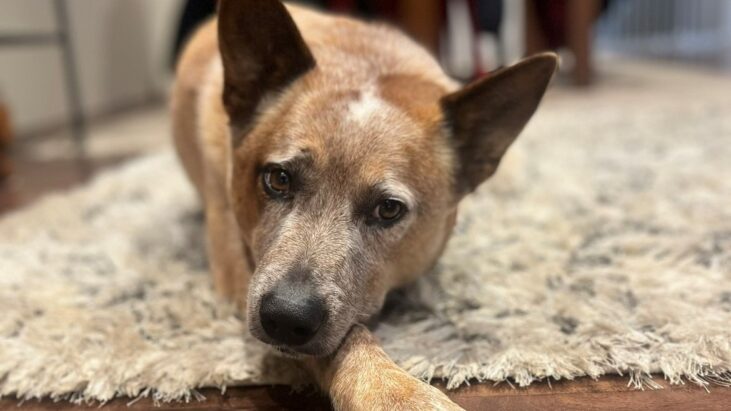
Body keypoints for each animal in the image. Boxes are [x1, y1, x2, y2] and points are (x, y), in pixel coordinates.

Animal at [172, 1, 556, 410]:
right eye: (278, 179)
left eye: (388, 209)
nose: (286, 317)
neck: (365, 64)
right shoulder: (238, 266)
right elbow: (347, 338)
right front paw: (394, 391)